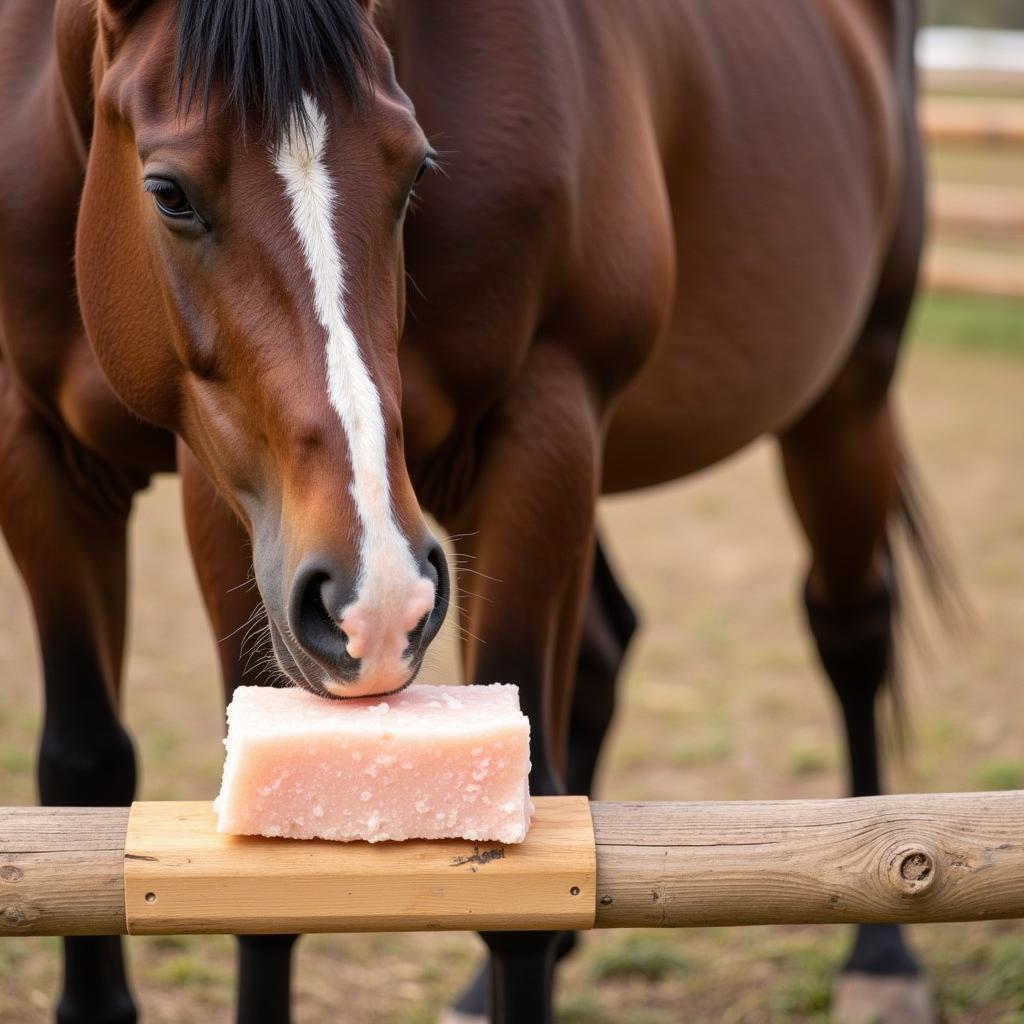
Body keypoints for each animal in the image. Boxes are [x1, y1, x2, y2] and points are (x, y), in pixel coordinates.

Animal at [0, 2, 946, 1024]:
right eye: (168, 192)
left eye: (415, 171)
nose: (372, 604)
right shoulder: (53, 457)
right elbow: (92, 769)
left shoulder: (546, 422)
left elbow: (521, 872)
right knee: (609, 650)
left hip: (848, 396)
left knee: (852, 633)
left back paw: (883, 958)